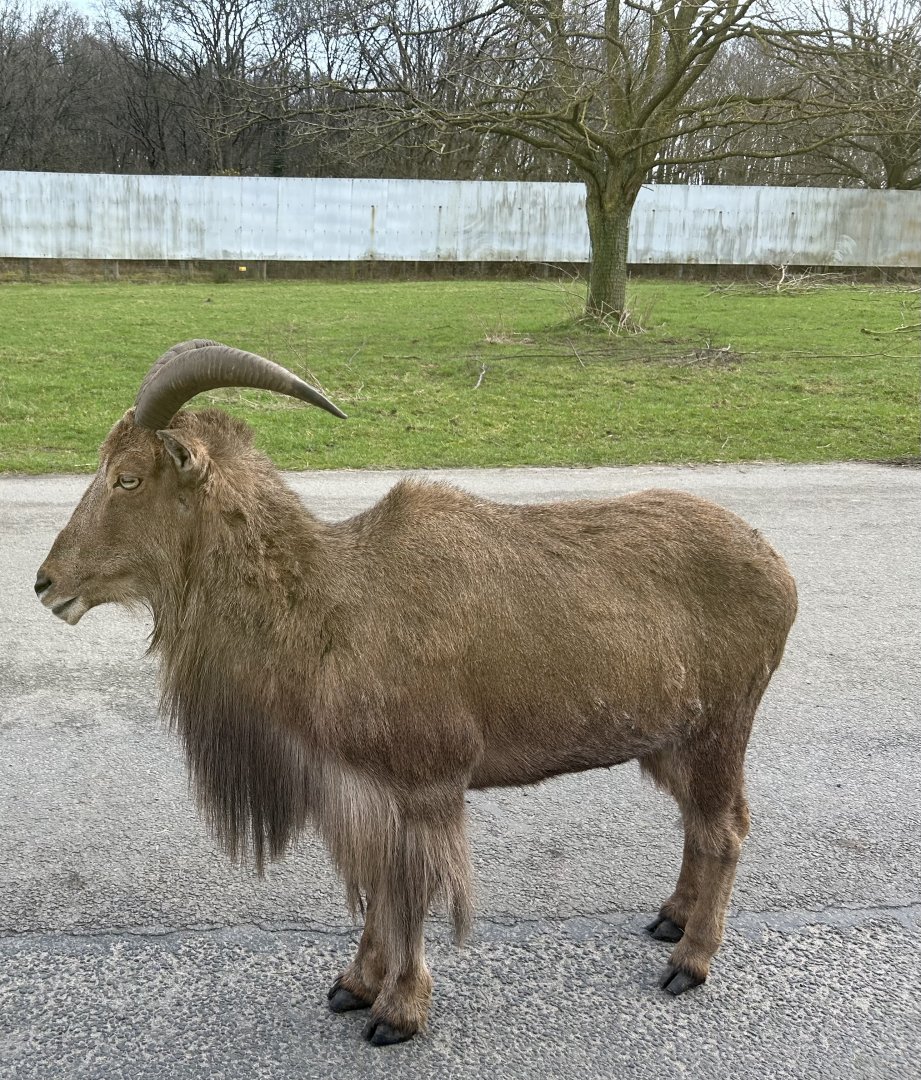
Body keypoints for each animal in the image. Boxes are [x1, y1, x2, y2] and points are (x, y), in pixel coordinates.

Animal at [35, 340, 798, 1046]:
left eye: (128, 478)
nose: (47, 582)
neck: (330, 604)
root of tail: (779, 569)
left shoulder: (424, 787)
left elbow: (408, 894)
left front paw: (397, 1011)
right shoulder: (362, 790)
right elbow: (377, 890)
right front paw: (354, 984)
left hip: (720, 728)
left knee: (724, 830)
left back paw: (690, 961)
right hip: (668, 742)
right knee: (697, 826)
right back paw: (670, 917)